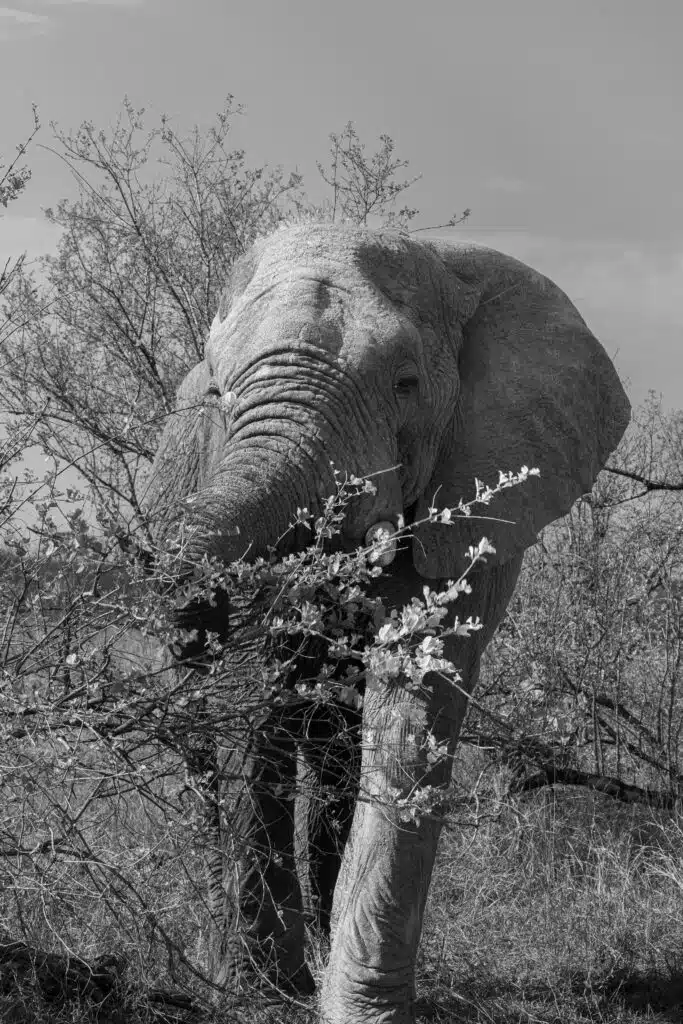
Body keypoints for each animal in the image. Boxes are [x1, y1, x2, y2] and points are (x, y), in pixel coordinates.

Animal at [146, 223, 630, 1024]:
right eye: (217, 392)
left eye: (406, 384)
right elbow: (252, 687)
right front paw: (261, 991)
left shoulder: (481, 479)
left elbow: (413, 690)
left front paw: (352, 1009)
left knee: (334, 748)